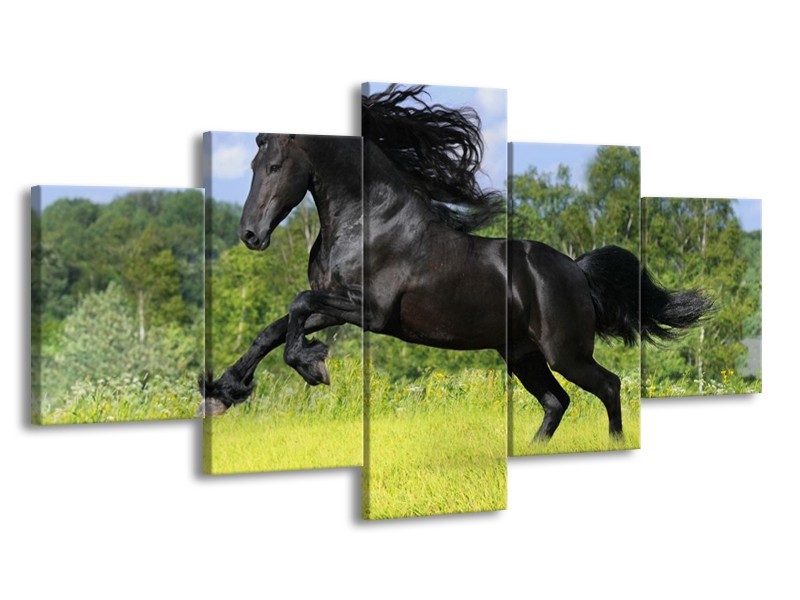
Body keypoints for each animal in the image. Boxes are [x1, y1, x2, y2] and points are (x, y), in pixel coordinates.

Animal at [201, 85, 711, 442]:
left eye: (273, 166)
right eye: (251, 163)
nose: (250, 235)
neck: (369, 219)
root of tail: (576, 270)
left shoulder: (370, 312)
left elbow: (297, 305)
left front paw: (313, 366)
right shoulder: (339, 305)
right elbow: (275, 327)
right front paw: (222, 393)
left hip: (565, 352)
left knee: (608, 386)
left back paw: (613, 443)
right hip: (522, 355)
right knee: (556, 401)